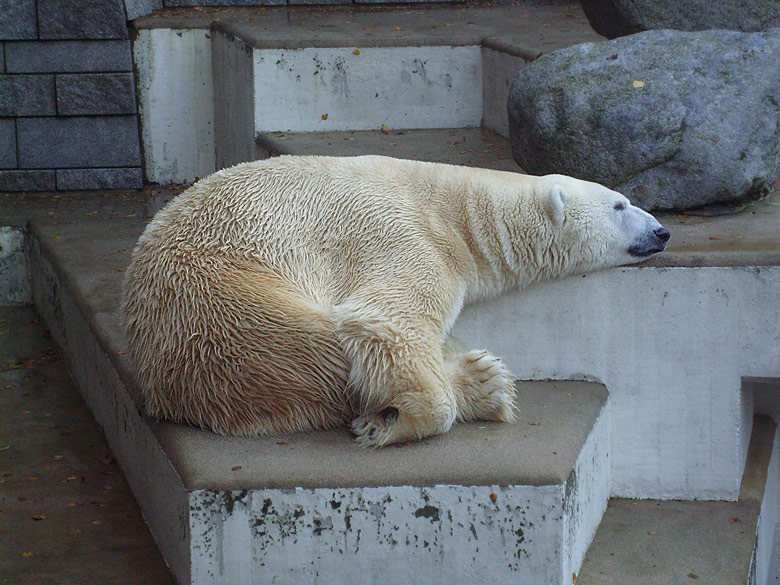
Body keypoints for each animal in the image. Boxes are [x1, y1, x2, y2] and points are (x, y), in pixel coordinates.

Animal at [123, 155, 672, 448]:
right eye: (620, 204)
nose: (662, 231)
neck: (457, 209)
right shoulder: (404, 236)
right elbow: (385, 321)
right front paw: (396, 420)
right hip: (225, 303)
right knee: (312, 354)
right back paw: (473, 384)